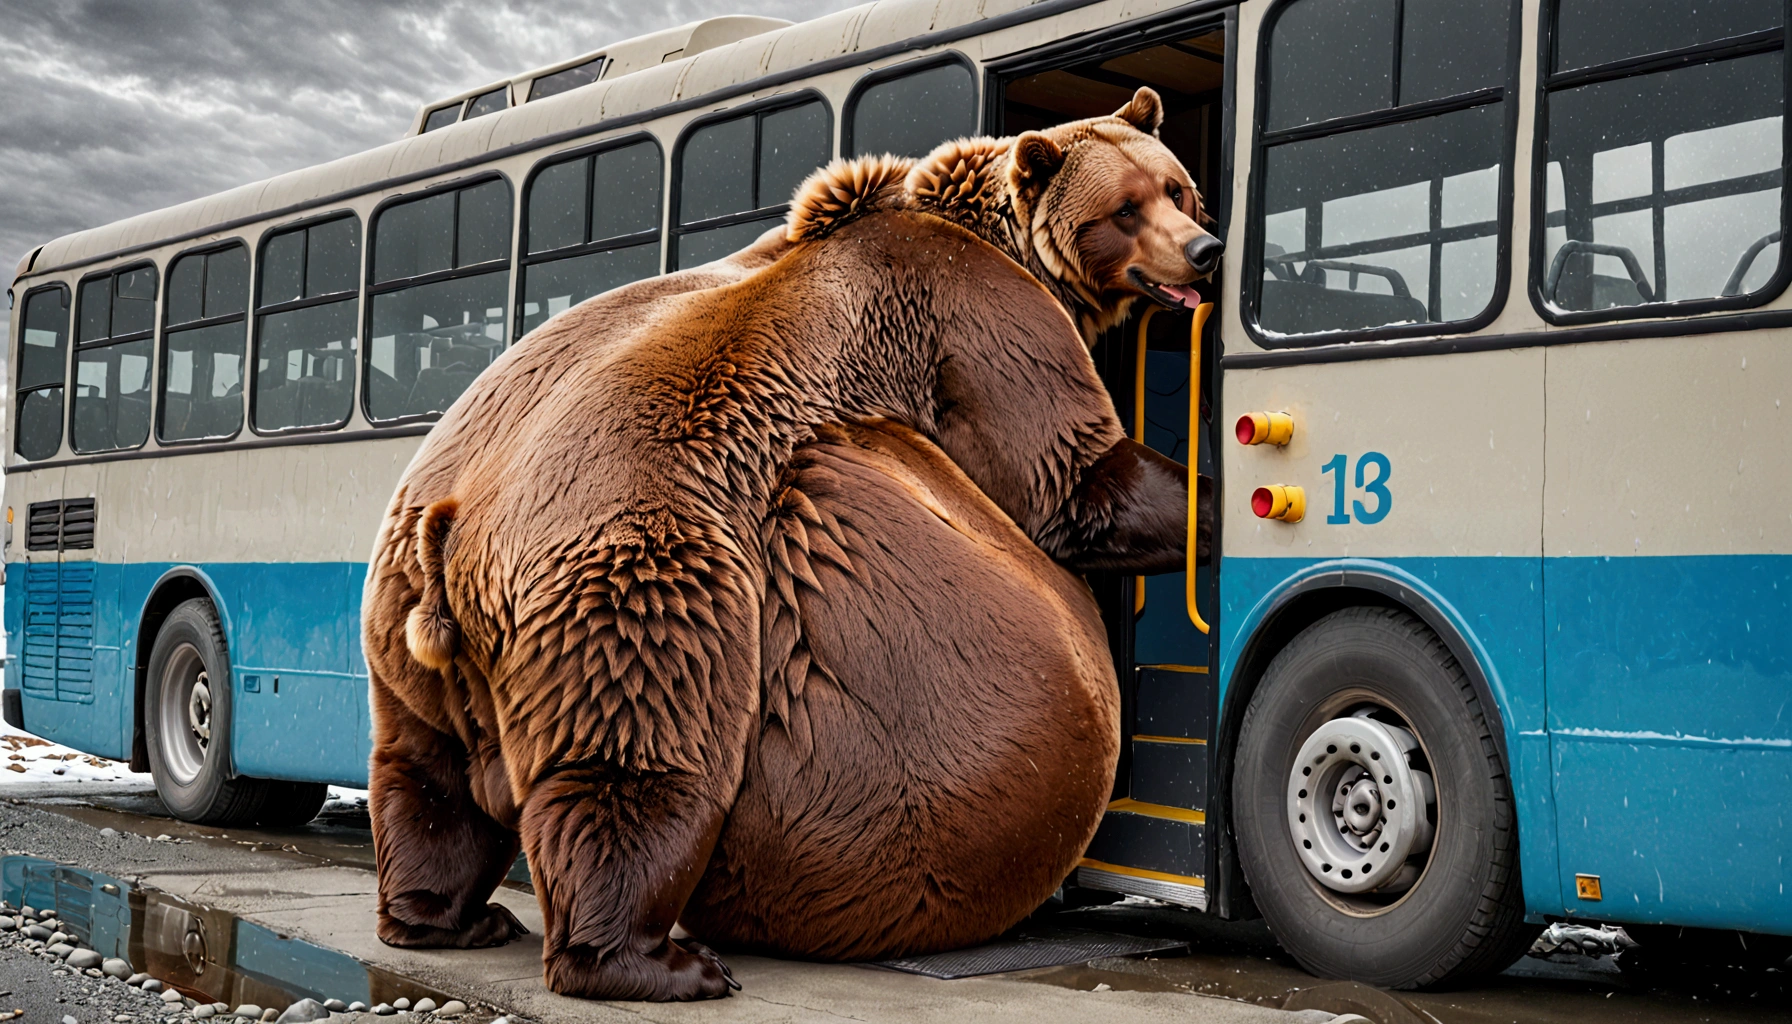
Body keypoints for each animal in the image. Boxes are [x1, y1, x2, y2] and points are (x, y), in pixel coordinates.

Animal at [370, 88, 1225, 1004]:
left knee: (426, 774)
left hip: (398, 619)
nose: (1204, 251)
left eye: (1178, 187)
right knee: (638, 754)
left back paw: (447, 917)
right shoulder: (974, 321)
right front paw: (1208, 500)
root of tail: (458, 540)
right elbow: (1077, 480)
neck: (992, 235)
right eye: (1125, 208)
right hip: (657, 566)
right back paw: (663, 962)